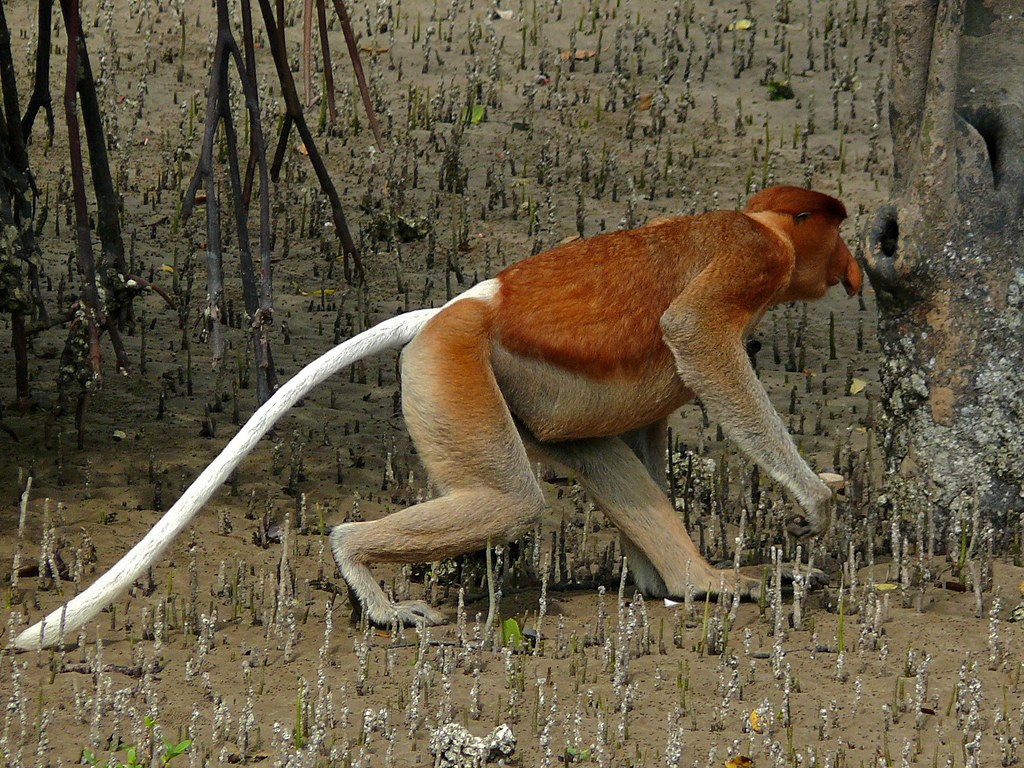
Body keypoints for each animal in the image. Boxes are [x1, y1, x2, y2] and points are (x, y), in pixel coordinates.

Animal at [14, 185, 861, 650]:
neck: (764, 227)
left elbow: (651, 418)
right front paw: (816, 498)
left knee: (591, 458)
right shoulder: (747, 261)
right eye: (835, 227)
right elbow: (694, 336)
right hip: (452, 373)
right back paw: (370, 579)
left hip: (523, 398)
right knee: (509, 501)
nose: (855, 268)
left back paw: (695, 582)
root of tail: (448, 312)